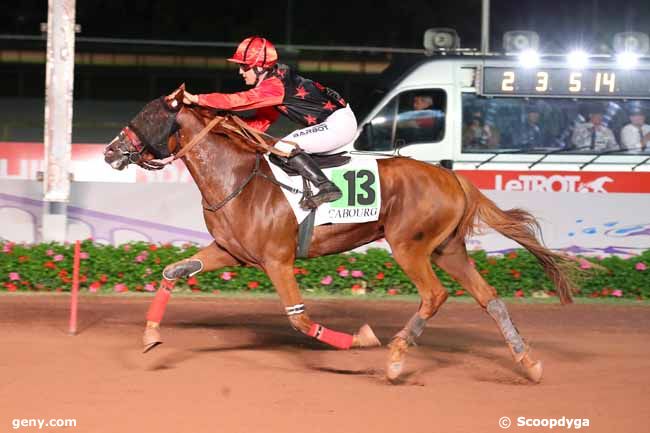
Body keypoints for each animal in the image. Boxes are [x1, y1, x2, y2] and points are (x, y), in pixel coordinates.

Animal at [104, 87, 576, 382]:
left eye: (147, 115)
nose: (110, 151)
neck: (239, 178)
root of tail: (453, 177)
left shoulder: (278, 261)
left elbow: (300, 319)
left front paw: (361, 339)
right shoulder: (231, 251)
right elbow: (172, 272)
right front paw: (150, 336)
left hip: (409, 246)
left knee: (435, 295)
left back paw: (396, 357)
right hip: (448, 249)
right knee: (490, 298)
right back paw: (528, 363)